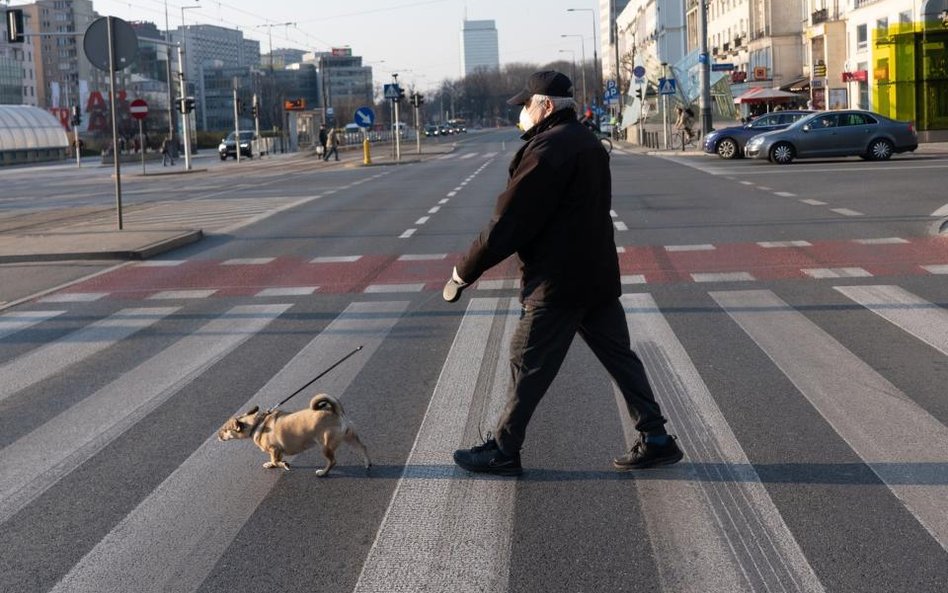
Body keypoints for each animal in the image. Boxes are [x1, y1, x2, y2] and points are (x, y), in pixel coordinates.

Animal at [218, 394, 370, 476]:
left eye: (225, 429)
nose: (217, 435)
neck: (256, 422)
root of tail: (335, 411)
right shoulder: (277, 452)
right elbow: (274, 460)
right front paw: (272, 464)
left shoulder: (274, 449)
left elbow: (276, 460)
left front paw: (283, 464)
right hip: (349, 437)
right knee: (362, 447)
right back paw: (367, 463)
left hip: (325, 446)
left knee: (332, 461)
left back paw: (323, 473)